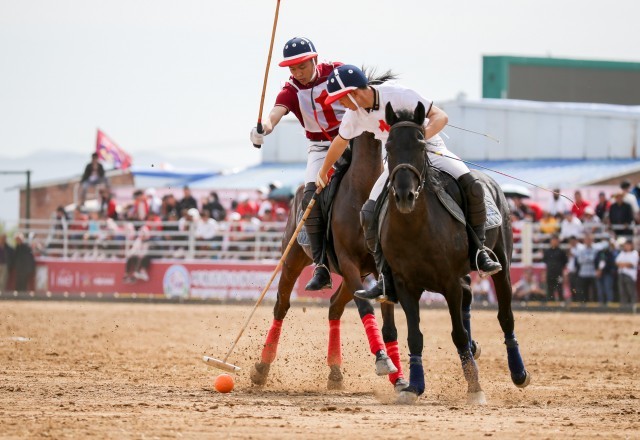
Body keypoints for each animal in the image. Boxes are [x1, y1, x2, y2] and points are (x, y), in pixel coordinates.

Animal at [248, 129, 408, 390]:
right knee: (281, 306)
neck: (363, 189)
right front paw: (383, 360)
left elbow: (390, 326)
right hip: (292, 260)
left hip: (357, 275)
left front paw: (400, 379)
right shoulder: (348, 261)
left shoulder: (380, 271)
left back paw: (335, 371)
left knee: (334, 306)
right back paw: (262, 368)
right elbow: (366, 308)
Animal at [380, 101, 528, 404]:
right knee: (469, 299)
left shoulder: (448, 281)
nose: (404, 195)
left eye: (421, 144)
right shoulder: (404, 284)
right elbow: (415, 336)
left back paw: (518, 372)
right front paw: (414, 386)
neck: (414, 228)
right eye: (388, 145)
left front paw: (475, 387)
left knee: (505, 316)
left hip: (502, 265)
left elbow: (458, 334)